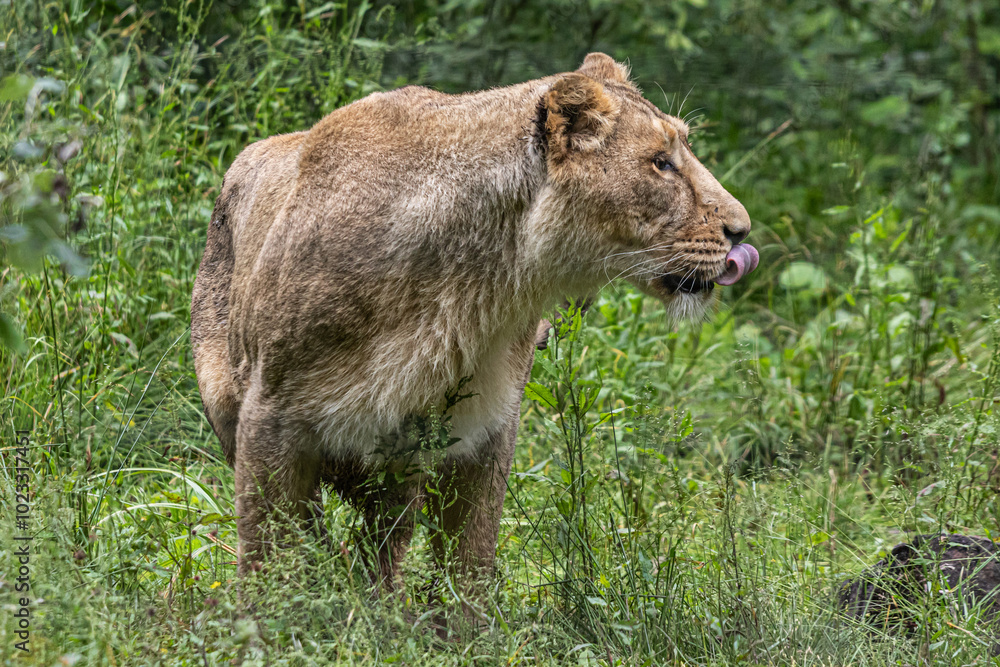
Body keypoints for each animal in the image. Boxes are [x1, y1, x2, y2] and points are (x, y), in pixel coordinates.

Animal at [190, 53, 756, 603]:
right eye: (661, 163)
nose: (742, 230)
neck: (477, 285)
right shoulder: (271, 416)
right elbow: (270, 551)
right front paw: (275, 618)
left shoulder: (485, 429)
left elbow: (470, 560)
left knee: (384, 543)